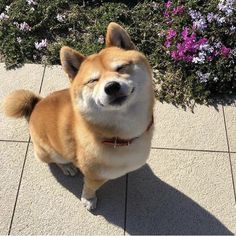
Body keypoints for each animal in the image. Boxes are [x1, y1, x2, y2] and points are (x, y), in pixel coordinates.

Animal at [4, 22, 155, 210]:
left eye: (121, 68)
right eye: (93, 81)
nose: (111, 86)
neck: (122, 136)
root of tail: (36, 106)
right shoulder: (94, 176)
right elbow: (89, 187)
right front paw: (88, 199)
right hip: (48, 152)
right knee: (56, 160)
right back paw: (67, 167)